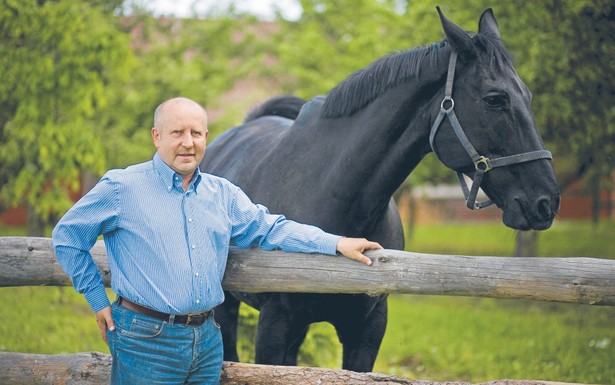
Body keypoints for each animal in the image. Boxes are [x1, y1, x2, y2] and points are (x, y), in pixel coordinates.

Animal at [203, 6, 564, 372]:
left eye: (527, 96)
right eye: (495, 99)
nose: (545, 202)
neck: (330, 191)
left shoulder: (367, 329)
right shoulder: (274, 325)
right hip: (227, 310)